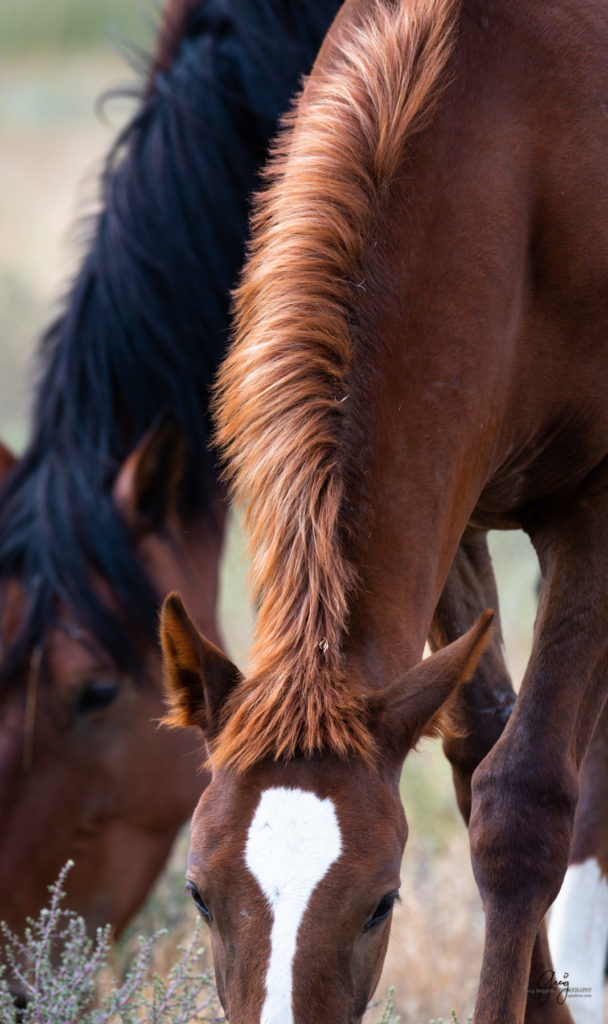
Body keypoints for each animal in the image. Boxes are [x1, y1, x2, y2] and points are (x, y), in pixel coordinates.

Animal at [161, 0, 608, 1019]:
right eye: (199, 892)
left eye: (381, 901)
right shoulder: (451, 519)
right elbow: (478, 750)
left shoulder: (602, 504)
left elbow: (523, 804)